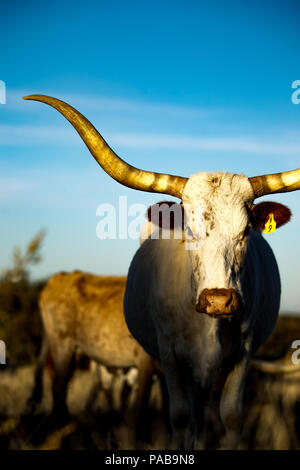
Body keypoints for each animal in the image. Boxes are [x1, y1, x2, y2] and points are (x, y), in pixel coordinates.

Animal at [24, 94, 300, 448]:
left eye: (246, 232)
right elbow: (178, 416)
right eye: (189, 231)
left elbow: (230, 418)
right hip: (64, 347)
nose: (219, 300)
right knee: (61, 392)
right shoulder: (167, 357)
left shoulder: (243, 353)